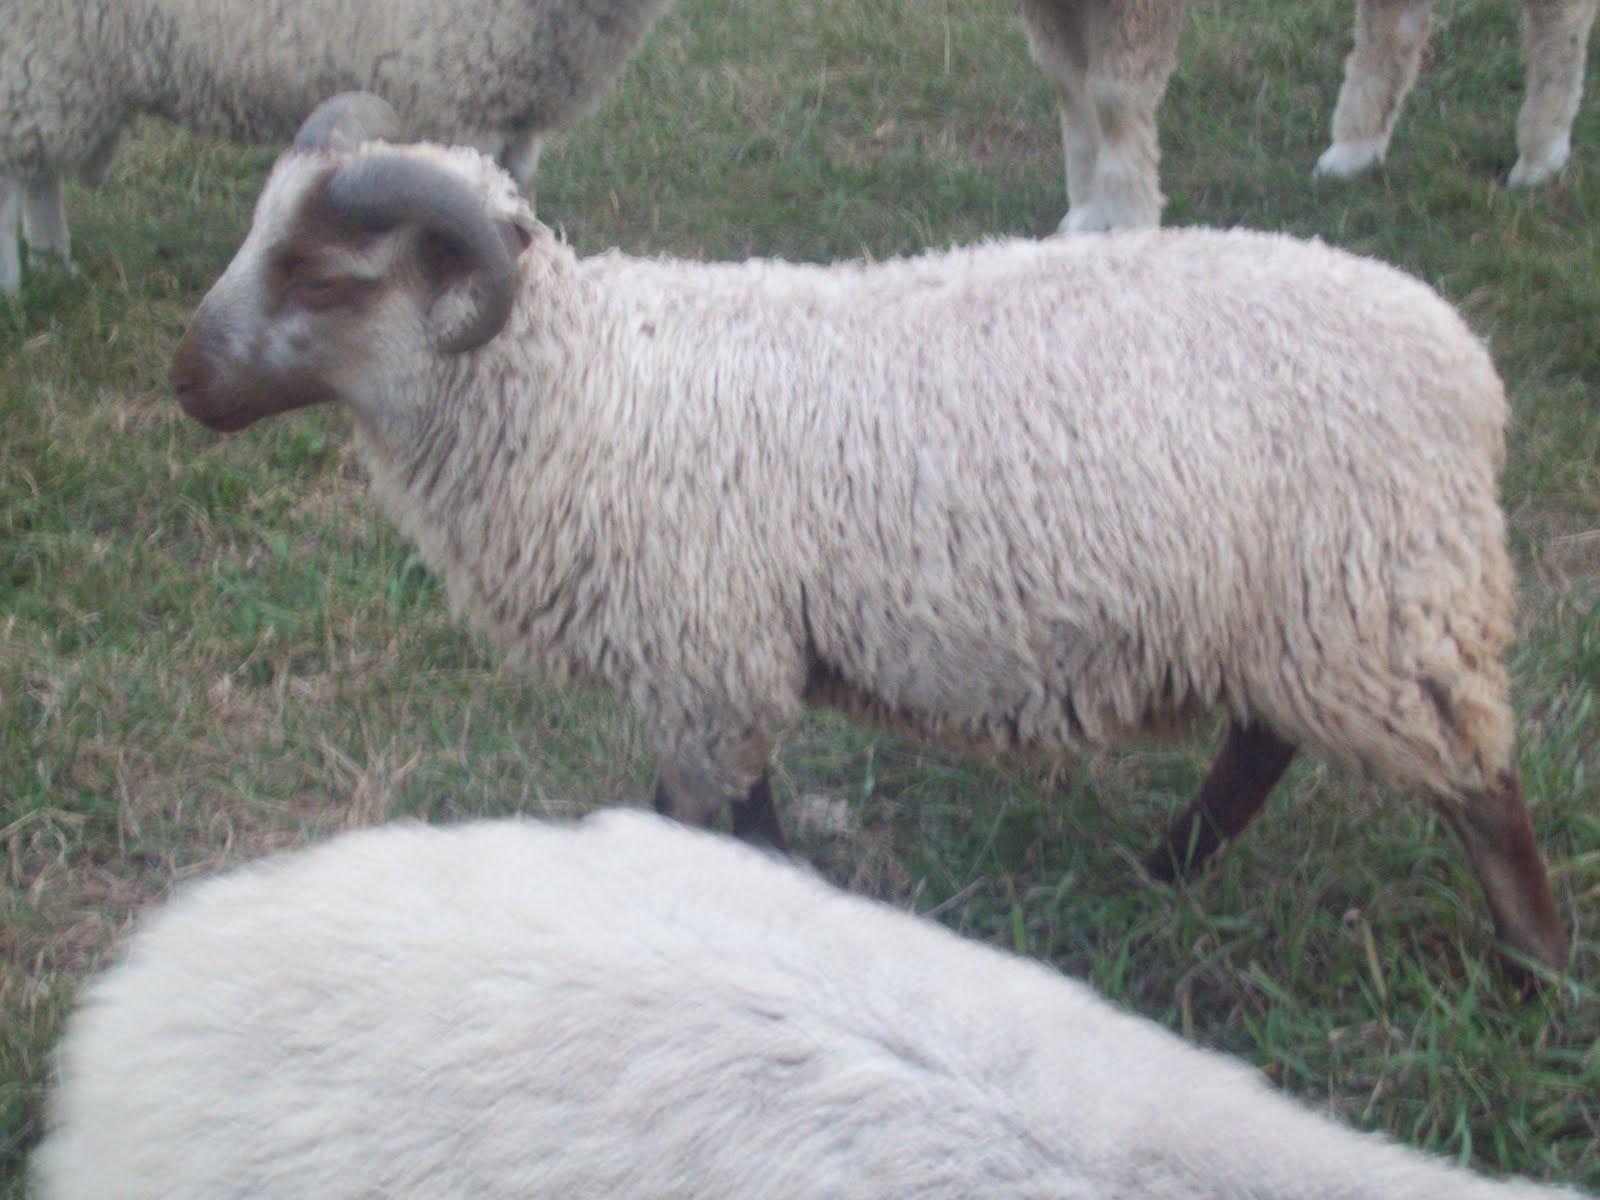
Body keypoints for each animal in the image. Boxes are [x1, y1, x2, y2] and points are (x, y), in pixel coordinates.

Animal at [0, 0, 673, 293]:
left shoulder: (513, 99)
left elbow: (516, 192)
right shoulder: (458, 88)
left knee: (38, 171)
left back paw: (55, 264)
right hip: (39, 49)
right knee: (13, 174)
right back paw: (15, 295)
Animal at [171, 92, 1569, 975]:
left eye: (322, 276)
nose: (185, 382)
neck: (585, 391)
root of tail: (1470, 369)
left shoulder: (705, 659)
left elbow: (701, 822)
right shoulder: (726, 664)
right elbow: (747, 822)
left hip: (1379, 602)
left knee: (1478, 789)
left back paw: (1534, 977)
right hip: (1301, 612)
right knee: (1264, 744)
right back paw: (1165, 871)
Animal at [1020, 0, 1598, 231]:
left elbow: (1114, 101)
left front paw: (1130, 225)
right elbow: (1068, 84)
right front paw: (1088, 213)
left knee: (1560, 19)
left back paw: (1541, 153)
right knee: (1395, 22)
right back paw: (1355, 149)